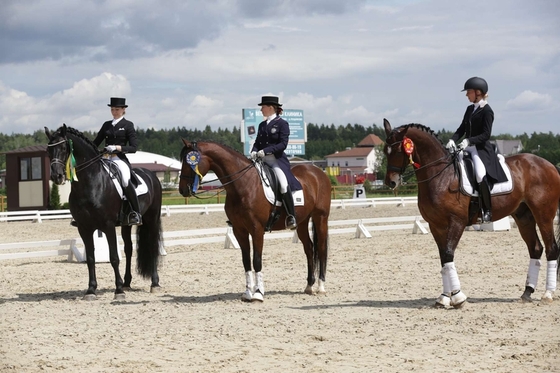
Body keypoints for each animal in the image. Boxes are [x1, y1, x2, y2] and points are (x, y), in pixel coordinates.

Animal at [44, 124, 163, 300]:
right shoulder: (84, 228)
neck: (90, 183)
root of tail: (151, 175)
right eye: (48, 150)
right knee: (128, 249)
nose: (57, 176)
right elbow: (91, 259)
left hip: (152, 218)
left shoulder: (108, 226)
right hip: (127, 224)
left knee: (152, 247)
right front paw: (91, 290)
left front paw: (118, 291)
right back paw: (127, 283)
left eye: (64, 147)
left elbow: (113, 257)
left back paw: (154, 284)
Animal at [177, 139, 330, 300]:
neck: (243, 185)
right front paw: (247, 292)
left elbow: (257, 260)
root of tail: (318, 172)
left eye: (189, 162)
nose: (183, 190)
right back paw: (309, 286)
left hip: (320, 217)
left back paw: (321, 287)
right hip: (301, 222)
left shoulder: (257, 229)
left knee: (321, 248)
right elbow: (246, 261)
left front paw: (258, 293)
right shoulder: (239, 230)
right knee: (309, 248)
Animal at [382, 117, 556, 306]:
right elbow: (443, 258)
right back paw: (527, 292)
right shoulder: (436, 225)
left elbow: (448, 254)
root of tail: (549, 165)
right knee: (536, 248)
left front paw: (458, 297)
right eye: (385, 151)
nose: (391, 182)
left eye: (399, 150)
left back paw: (548, 294)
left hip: (544, 215)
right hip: (523, 216)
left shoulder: (457, 222)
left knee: (551, 248)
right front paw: (444, 297)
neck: (441, 176)